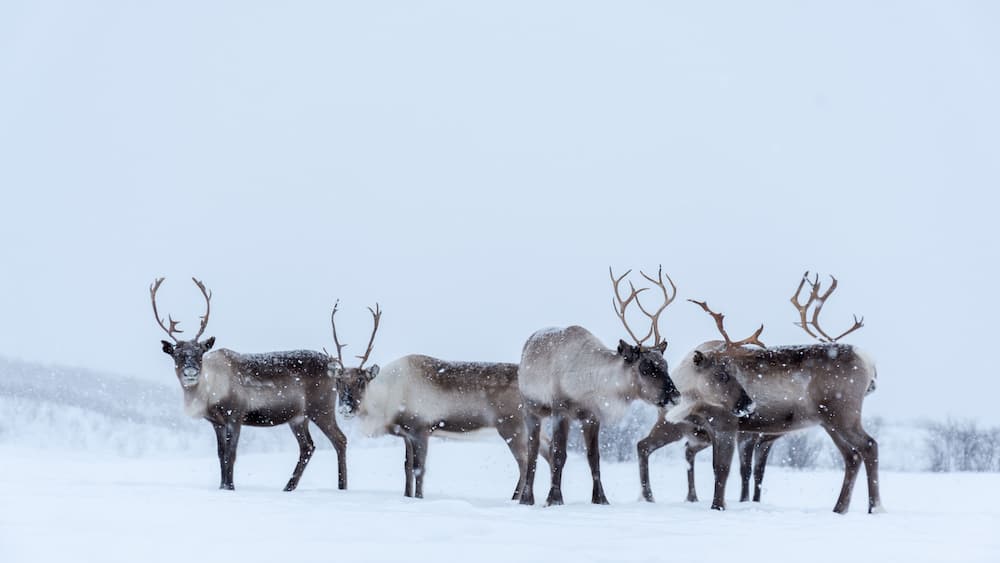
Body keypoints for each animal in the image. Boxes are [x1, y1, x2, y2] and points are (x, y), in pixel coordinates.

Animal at [151, 277, 347, 492]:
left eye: (200, 353)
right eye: (176, 355)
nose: (190, 372)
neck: (209, 390)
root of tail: (334, 367)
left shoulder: (235, 415)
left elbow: (231, 454)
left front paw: (230, 487)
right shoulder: (217, 422)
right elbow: (221, 454)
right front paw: (222, 486)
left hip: (321, 408)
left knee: (339, 439)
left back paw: (342, 486)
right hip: (297, 417)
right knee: (308, 447)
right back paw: (288, 487)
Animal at [328, 302, 545, 499]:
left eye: (361, 380)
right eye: (338, 381)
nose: (345, 408)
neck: (387, 398)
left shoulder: (421, 429)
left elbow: (419, 468)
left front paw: (419, 498)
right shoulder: (406, 435)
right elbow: (406, 467)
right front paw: (407, 496)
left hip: (511, 428)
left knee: (524, 462)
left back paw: (517, 499)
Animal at [517, 266, 682, 506]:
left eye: (665, 365)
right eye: (645, 368)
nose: (675, 396)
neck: (590, 382)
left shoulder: (592, 417)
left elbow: (594, 457)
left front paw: (601, 499)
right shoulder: (560, 410)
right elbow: (559, 454)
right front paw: (554, 498)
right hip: (531, 408)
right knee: (532, 450)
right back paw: (526, 498)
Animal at [639, 272, 881, 513]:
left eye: (733, 372)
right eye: (722, 375)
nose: (748, 405)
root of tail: (867, 360)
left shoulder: (728, 425)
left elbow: (724, 469)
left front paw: (718, 507)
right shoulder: (718, 429)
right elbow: (723, 468)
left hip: (843, 414)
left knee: (869, 446)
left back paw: (875, 507)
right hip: (828, 421)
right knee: (852, 456)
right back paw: (840, 508)